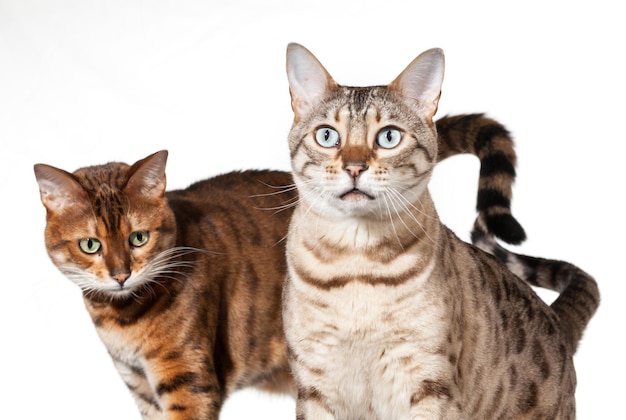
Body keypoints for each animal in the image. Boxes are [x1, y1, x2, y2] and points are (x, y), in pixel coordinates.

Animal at [33, 113, 520, 418]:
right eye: (91, 244)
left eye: (138, 238)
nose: (120, 274)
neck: (123, 317)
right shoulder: (142, 389)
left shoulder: (187, 382)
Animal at [282, 43, 596, 420]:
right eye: (327, 135)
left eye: (388, 137)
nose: (354, 167)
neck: (356, 263)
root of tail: (556, 318)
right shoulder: (314, 384)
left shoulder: (428, 381)